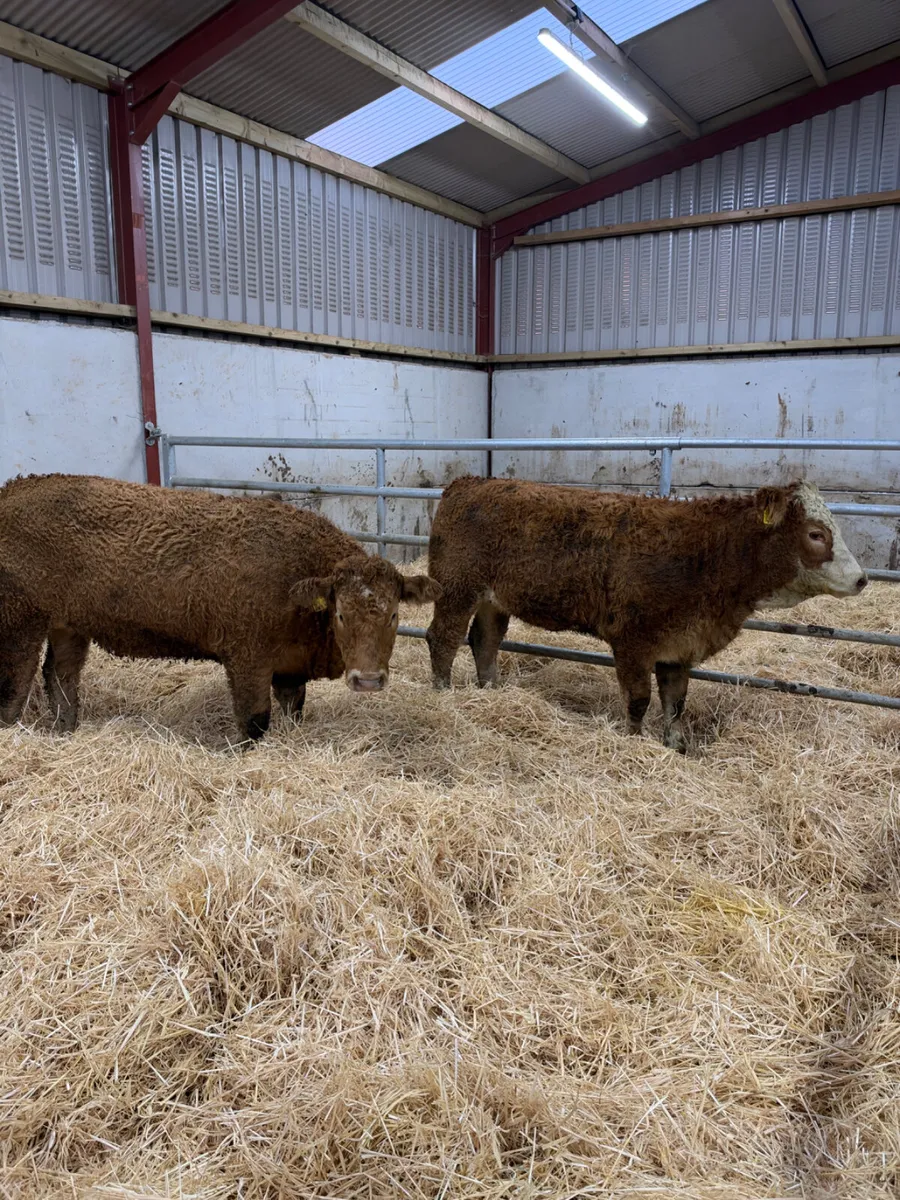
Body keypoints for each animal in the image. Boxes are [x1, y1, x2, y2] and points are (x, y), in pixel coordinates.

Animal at [0, 474, 440, 743]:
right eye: (341, 614)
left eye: (394, 615)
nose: (368, 681)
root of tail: (15, 489)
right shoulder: (247, 660)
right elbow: (254, 722)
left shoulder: (289, 667)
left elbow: (293, 711)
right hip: (19, 623)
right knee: (14, 689)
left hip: (68, 625)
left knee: (61, 677)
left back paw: (65, 730)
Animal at [425, 476, 867, 752]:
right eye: (816, 533)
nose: (862, 579)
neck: (706, 555)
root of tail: (468, 482)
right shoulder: (633, 640)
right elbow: (638, 700)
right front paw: (633, 744)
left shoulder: (680, 646)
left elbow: (676, 702)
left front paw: (676, 747)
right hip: (457, 586)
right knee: (443, 638)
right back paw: (443, 695)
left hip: (492, 599)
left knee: (484, 641)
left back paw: (491, 692)